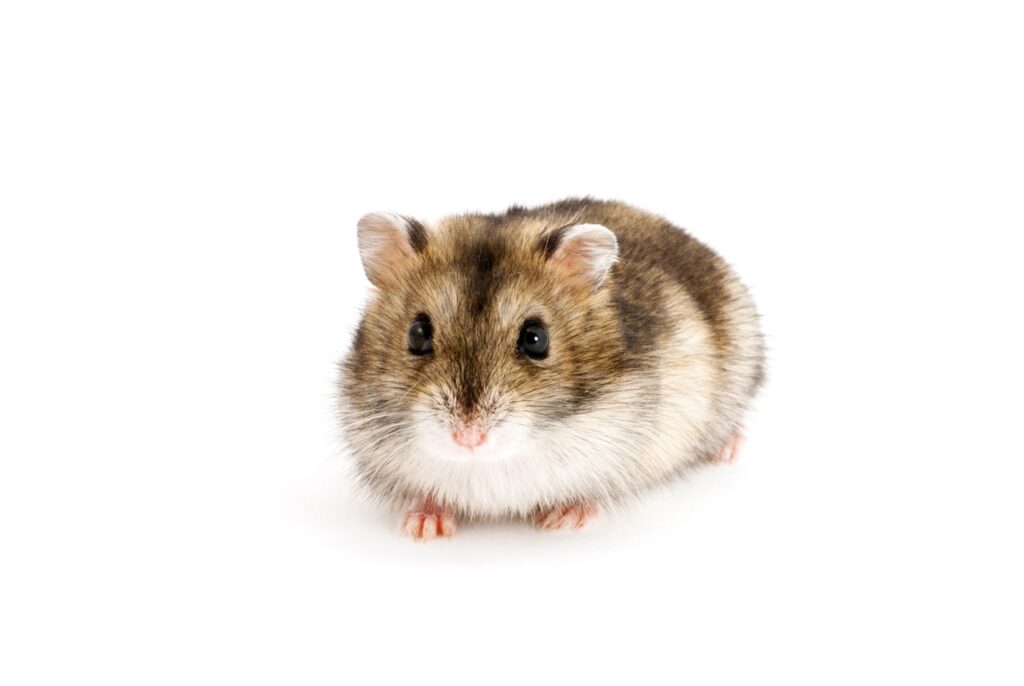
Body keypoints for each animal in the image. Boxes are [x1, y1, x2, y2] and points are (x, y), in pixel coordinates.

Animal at [338, 198, 765, 540]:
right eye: (417, 334)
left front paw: (562, 521)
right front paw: (423, 527)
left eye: (535, 339)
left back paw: (727, 450)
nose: (468, 437)